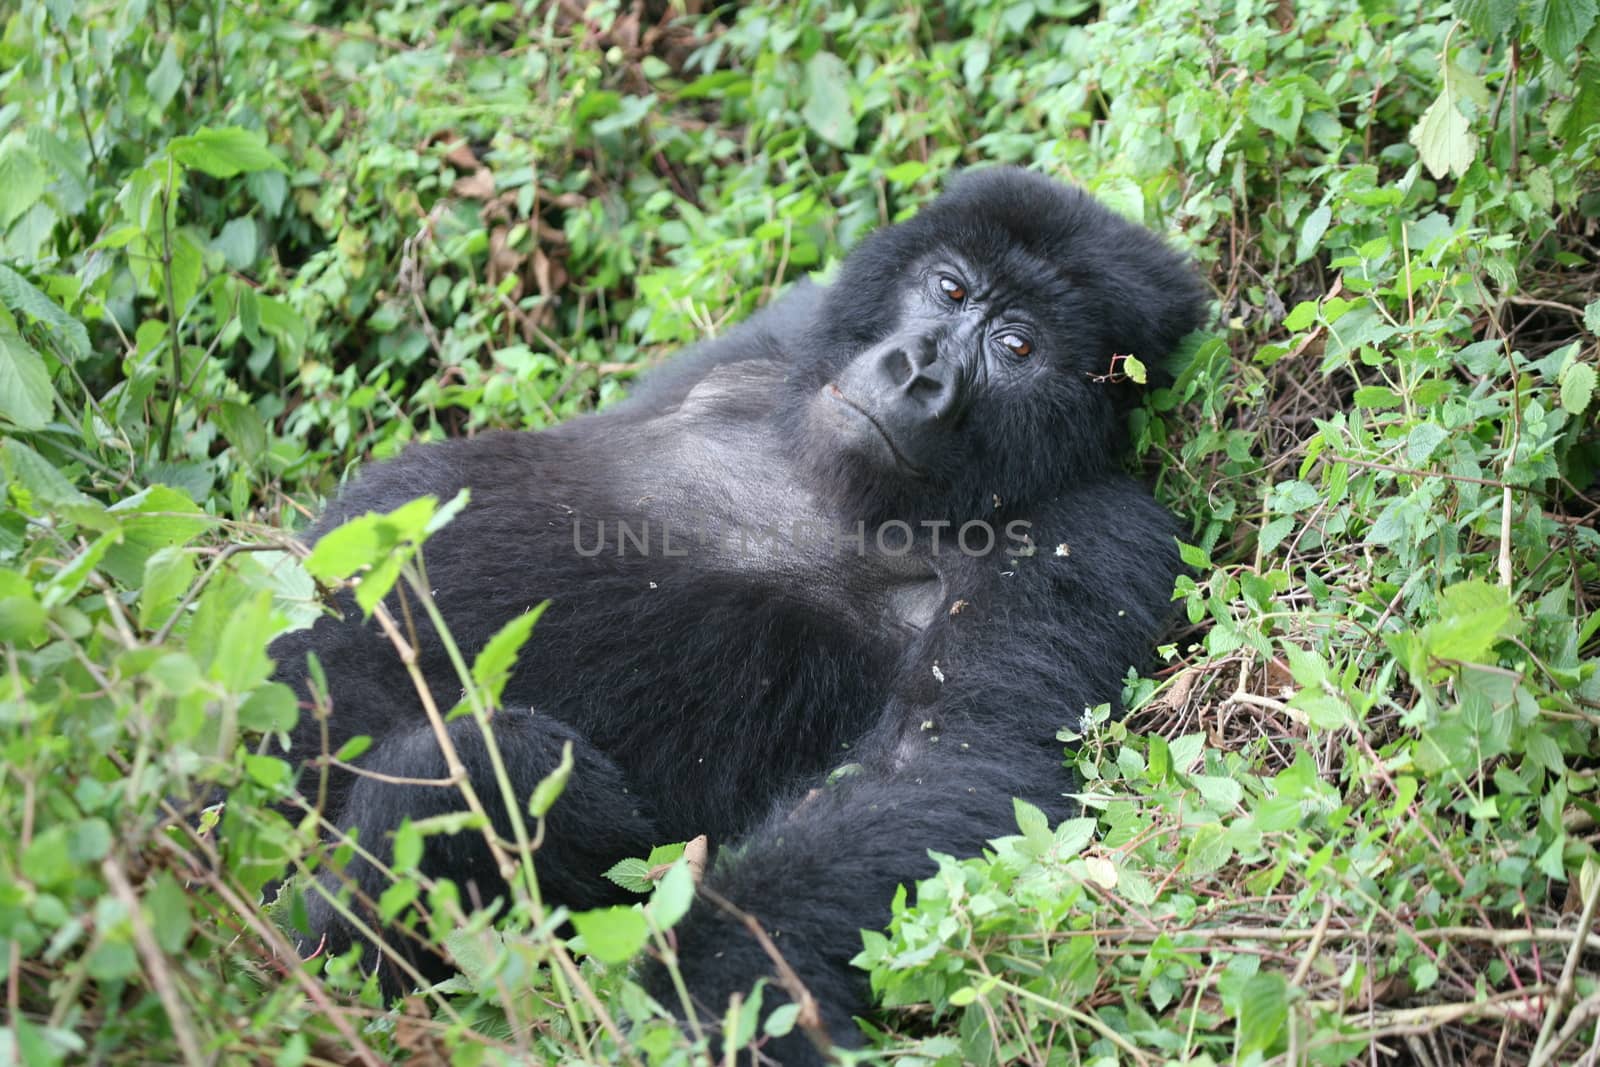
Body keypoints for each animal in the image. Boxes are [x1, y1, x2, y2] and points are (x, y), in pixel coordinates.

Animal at [268, 164, 1203, 1062]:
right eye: (949, 289)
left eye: (1017, 346)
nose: (920, 369)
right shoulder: (785, 330)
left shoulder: (1095, 531)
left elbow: (943, 762)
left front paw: (729, 984)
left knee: (478, 763)